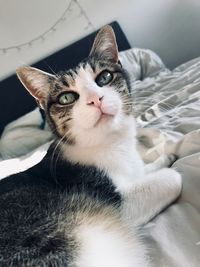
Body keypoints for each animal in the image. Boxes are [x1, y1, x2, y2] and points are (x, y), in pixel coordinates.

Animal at [0, 25, 182, 267]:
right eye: (66, 97)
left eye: (104, 77)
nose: (96, 99)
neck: (112, 144)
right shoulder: (117, 201)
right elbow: (172, 178)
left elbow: (144, 170)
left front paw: (163, 156)